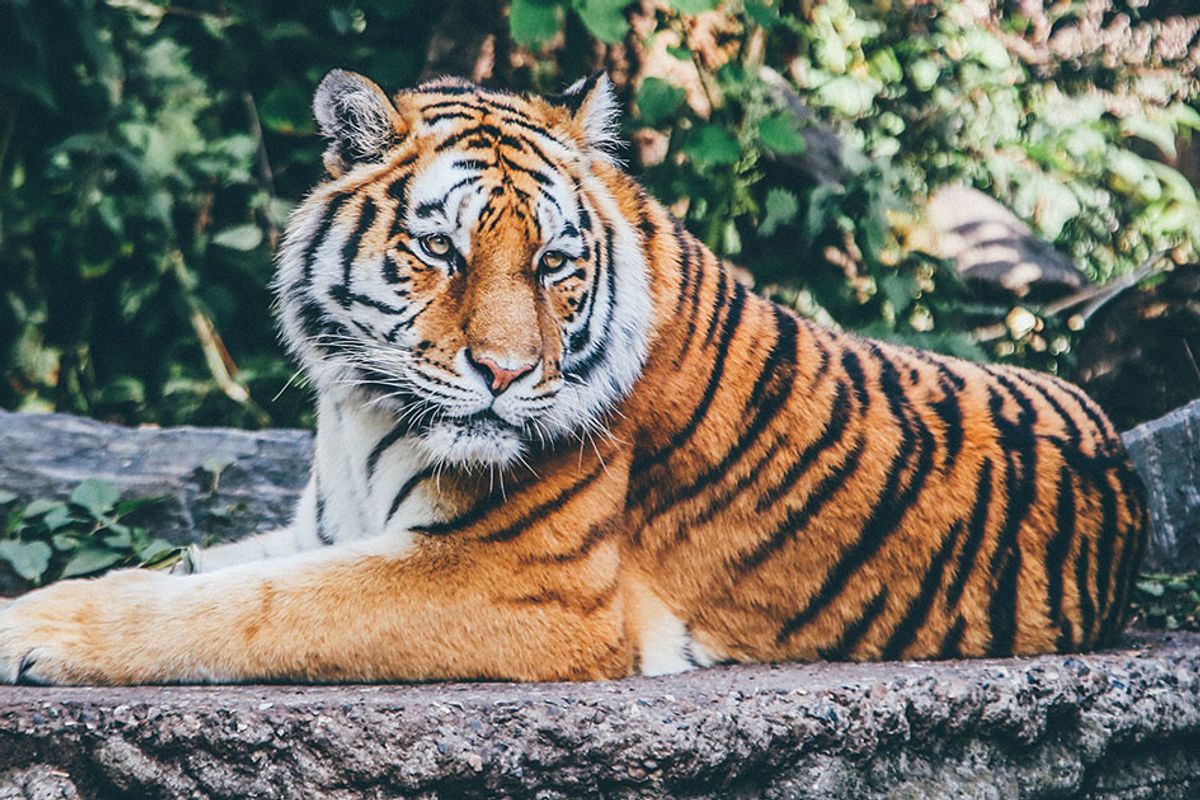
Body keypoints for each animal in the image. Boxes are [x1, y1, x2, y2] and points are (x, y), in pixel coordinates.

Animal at [0, 71, 1147, 685]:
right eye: (442, 250)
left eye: (554, 262)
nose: (507, 375)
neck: (360, 406)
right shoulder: (328, 527)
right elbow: (200, 568)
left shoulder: (517, 579)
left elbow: (242, 607)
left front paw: (34, 630)